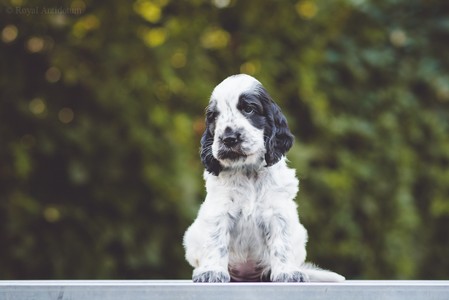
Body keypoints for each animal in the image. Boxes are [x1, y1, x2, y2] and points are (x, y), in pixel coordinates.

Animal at [182, 74, 344, 282]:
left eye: (249, 109)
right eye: (213, 116)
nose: (228, 139)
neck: (248, 172)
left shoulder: (278, 211)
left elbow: (282, 244)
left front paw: (287, 272)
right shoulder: (219, 209)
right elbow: (216, 241)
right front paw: (212, 272)